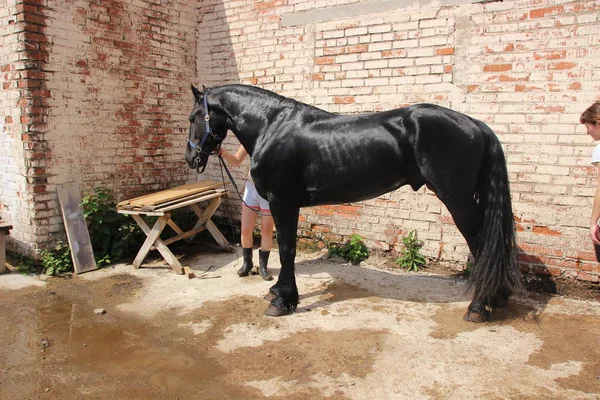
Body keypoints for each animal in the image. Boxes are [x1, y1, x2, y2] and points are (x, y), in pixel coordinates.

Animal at [185, 84, 524, 322]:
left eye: (192, 117)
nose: (191, 158)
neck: (272, 125)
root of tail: (475, 124)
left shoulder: (283, 202)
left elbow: (287, 249)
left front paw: (284, 300)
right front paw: (278, 292)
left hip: (459, 202)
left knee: (482, 245)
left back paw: (479, 307)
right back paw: (496, 299)